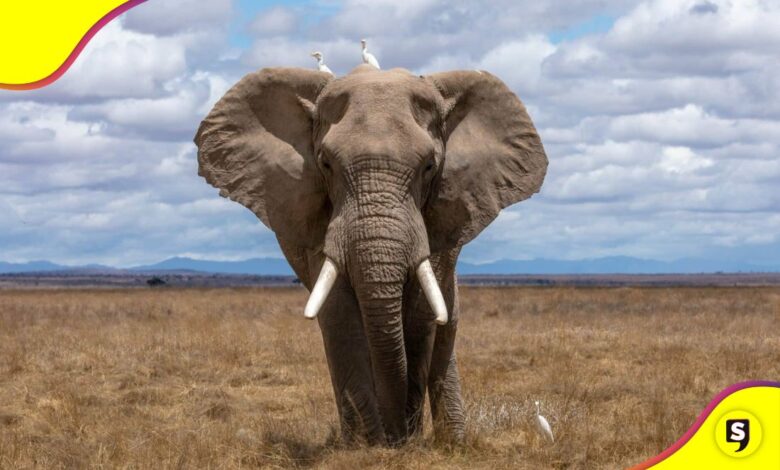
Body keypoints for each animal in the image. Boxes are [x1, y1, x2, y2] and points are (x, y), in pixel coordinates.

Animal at [193, 64, 547, 445]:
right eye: (326, 164)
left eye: (429, 166)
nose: (398, 436)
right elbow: (339, 314)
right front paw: (367, 446)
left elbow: (421, 316)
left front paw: (403, 440)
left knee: (446, 323)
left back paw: (453, 441)